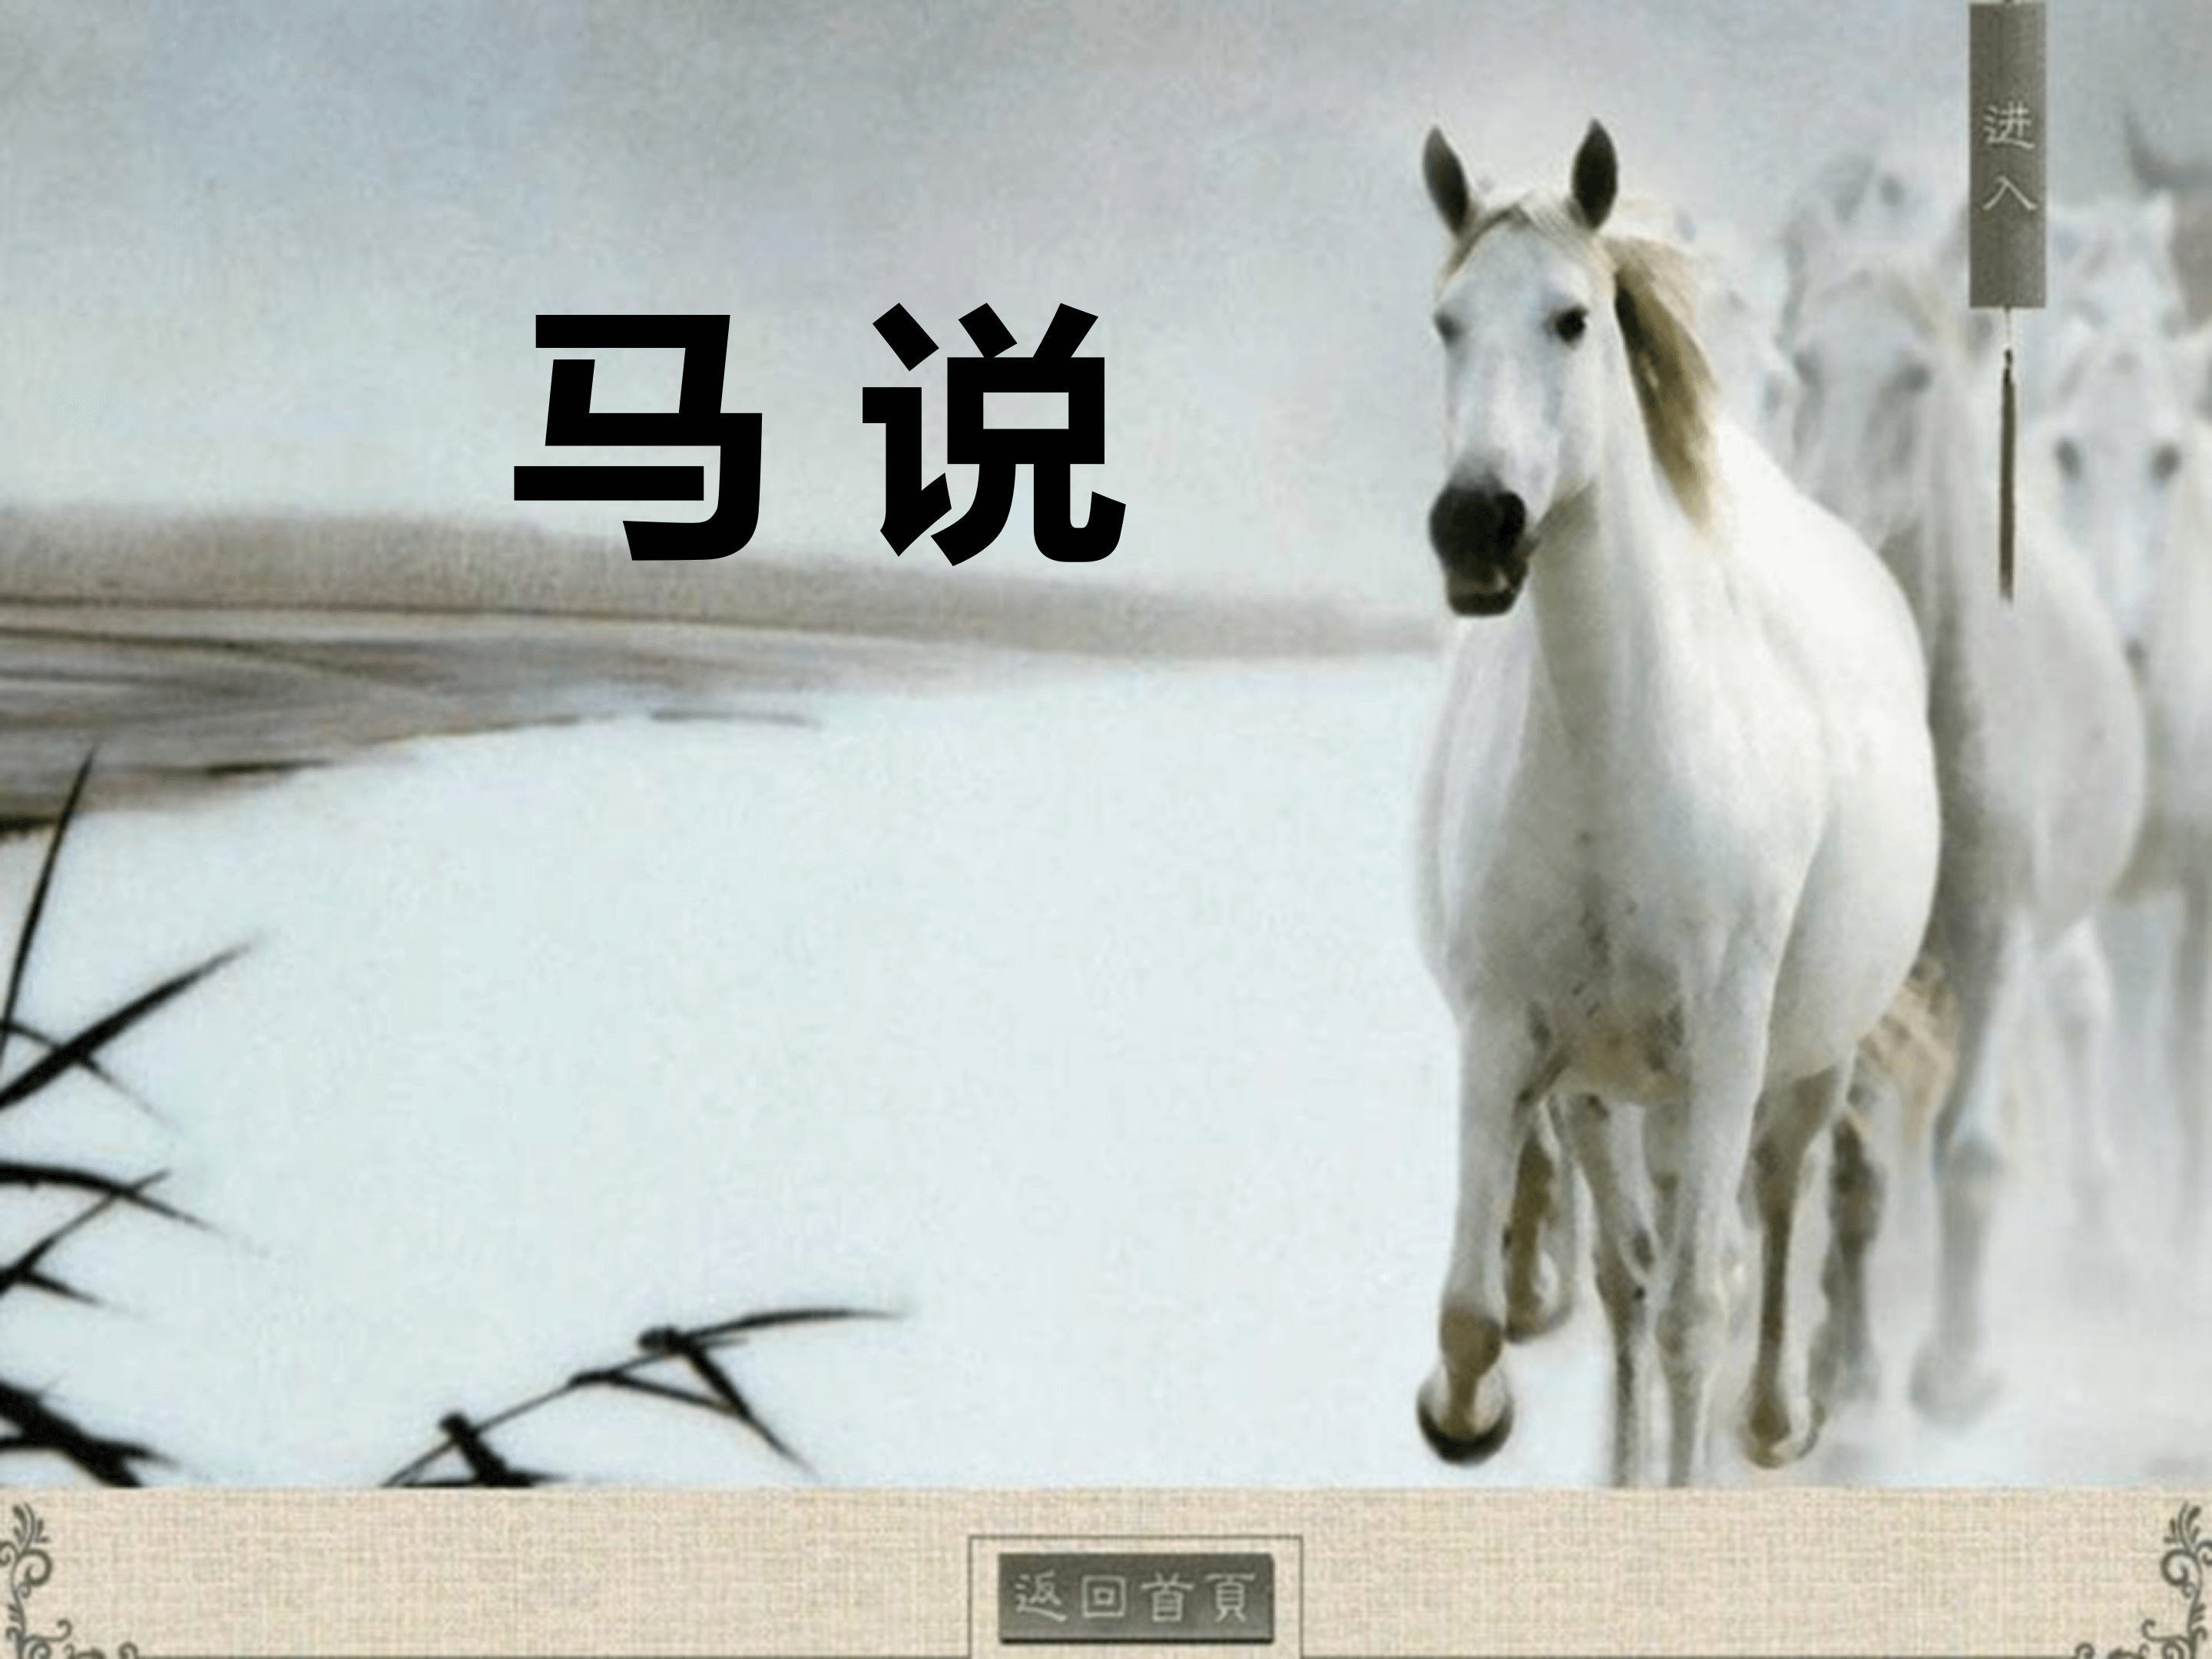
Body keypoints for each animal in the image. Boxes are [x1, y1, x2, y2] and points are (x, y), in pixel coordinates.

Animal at [1411, 119, 1940, 1485]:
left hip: (1801, 1061)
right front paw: (1471, 1416)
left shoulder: (1724, 1048)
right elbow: (1488, 1309)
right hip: (1613, 1089)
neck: (1616, 765)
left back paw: (1772, 1420)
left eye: (1570, 319)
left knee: (1773, 1213)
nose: (1476, 524)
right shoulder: (1511, 1034)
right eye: (1446, 322)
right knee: (1631, 1273)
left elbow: (1703, 1300)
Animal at [1787, 257, 2147, 1420]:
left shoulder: (1996, 936)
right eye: (1804, 364)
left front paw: (1953, 1371)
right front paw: (1854, 1380)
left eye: (1913, 376)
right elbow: (1857, 1160)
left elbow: (1973, 1151)